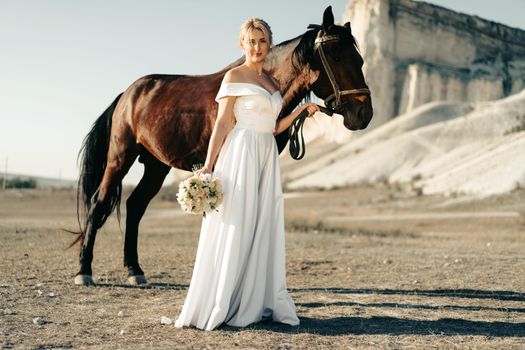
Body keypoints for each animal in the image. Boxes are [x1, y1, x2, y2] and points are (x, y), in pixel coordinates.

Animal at [72, 6, 372, 286]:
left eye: (359, 59)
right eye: (336, 57)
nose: (363, 114)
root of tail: (128, 94)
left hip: (156, 166)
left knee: (135, 207)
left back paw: (134, 270)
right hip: (120, 158)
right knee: (98, 203)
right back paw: (84, 271)